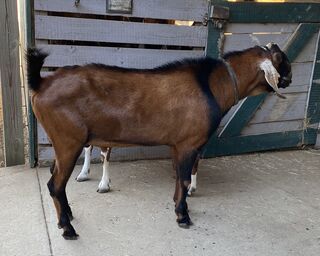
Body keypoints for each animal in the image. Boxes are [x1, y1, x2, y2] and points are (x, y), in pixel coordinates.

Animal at [26, 43, 292, 239]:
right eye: (280, 58)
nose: (290, 77)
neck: (212, 85)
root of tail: (42, 83)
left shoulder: (178, 144)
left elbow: (179, 178)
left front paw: (179, 206)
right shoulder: (188, 143)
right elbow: (184, 179)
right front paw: (183, 216)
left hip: (62, 143)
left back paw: (68, 217)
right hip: (68, 141)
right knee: (55, 185)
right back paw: (68, 229)